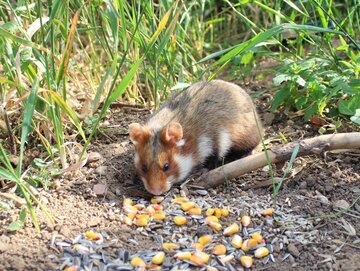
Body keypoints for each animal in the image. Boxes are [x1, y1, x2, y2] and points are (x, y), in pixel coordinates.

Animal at [129, 79, 262, 197]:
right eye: (144, 167)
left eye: (166, 166)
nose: (155, 192)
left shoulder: (215, 141)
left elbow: (213, 159)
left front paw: (199, 172)